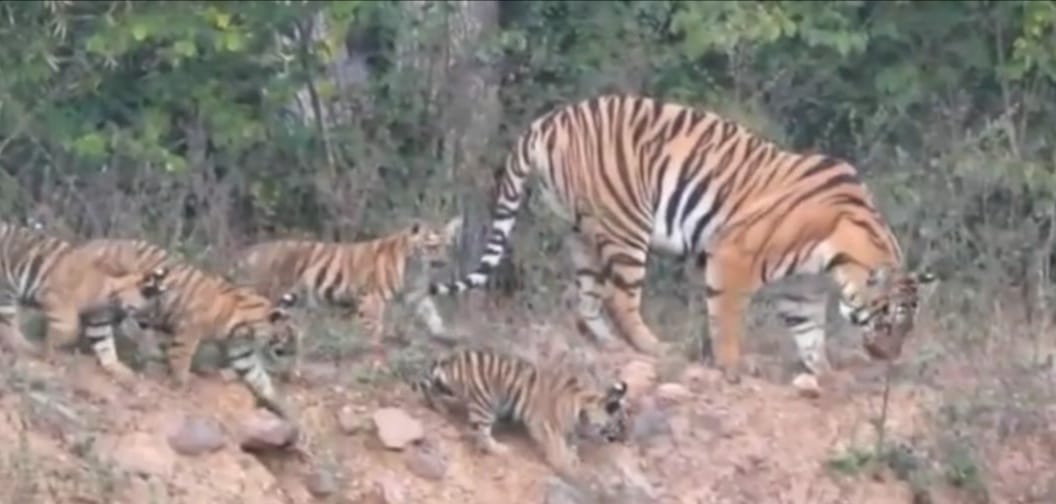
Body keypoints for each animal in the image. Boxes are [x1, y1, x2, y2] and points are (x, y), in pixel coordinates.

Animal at [0, 221, 170, 381]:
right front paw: (49, 353)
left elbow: (105, 345)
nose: (150, 324)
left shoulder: (98, 320)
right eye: (150, 307)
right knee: (9, 323)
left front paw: (120, 371)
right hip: (6, 292)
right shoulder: (57, 300)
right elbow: (69, 329)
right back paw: (25, 347)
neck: (111, 297)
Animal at [69, 238, 302, 419]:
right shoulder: (188, 331)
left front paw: (285, 410)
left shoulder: (241, 351)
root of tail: (87, 245)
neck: (247, 329)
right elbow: (181, 361)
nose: (294, 353)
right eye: (288, 336)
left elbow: (260, 378)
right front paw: (180, 386)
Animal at [230, 217, 463, 372]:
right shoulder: (372, 299)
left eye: (447, 245)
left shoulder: (416, 297)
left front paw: (448, 338)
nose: (443, 262)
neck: (415, 266)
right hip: (267, 296)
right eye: (432, 246)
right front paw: (378, 362)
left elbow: (434, 318)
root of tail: (247, 253)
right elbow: (376, 332)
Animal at [410, 348, 630, 482]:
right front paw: (568, 470)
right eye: (619, 423)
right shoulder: (549, 428)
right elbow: (559, 451)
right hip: (486, 403)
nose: (624, 439)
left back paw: (439, 408)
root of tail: (451, 359)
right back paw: (500, 449)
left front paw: (575, 463)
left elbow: (571, 449)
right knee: (482, 433)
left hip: (448, 387)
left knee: (431, 391)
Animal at [428, 94, 937, 387]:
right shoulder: (734, 255)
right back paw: (657, 348)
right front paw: (732, 367)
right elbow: (727, 319)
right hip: (626, 226)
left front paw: (824, 374)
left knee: (586, 299)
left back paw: (609, 345)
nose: (888, 358)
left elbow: (809, 332)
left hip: (581, 232)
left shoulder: (802, 288)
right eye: (890, 322)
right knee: (620, 298)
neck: (836, 260)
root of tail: (547, 121)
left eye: (907, 327)